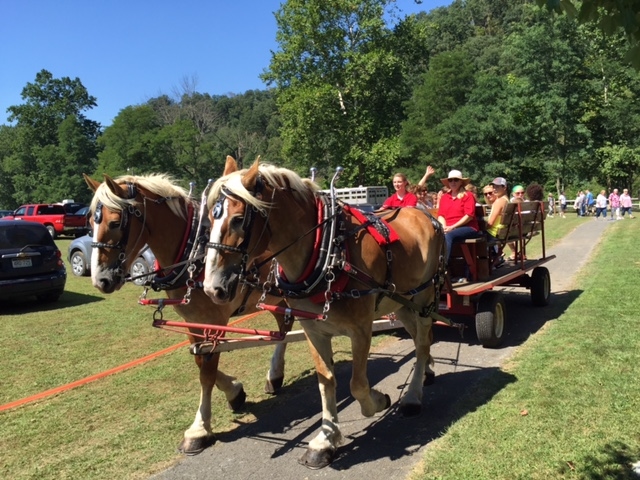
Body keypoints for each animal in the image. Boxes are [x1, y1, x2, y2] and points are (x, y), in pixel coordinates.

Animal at [83, 168, 290, 454]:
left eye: (114, 223)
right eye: (91, 223)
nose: (100, 280)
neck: (192, 251)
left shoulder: (214, 320)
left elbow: (207, 373)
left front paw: (199, 428)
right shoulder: (191, 321)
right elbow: (200, 362)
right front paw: (235, 392)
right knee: (284, 326)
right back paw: (275, 375)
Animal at [204, 159, 444, 466]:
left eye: (237, 219)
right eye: (210, 219)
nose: (212, 288)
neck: (329, 251)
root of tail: (426, 214)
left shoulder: (361, 329)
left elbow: (357, 385)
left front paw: (378, 401)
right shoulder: (313, 330)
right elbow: (326, 380)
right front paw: (325, 439)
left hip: (425, 297)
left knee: (423, 341)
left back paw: (413, 396)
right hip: (400, 302)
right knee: (418, 339)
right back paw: (427, 370)